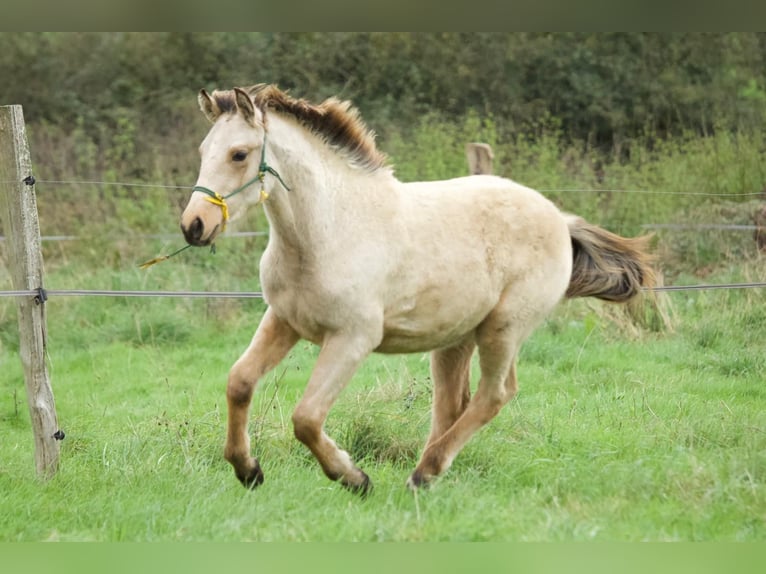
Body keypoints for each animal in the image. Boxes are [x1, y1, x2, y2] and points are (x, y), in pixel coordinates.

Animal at [178, 84, 656, 496]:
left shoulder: (352, 338)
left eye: (239, 154)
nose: (194, 225)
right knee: (453, 403)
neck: (329, 231)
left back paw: (423, 473)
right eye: (202, 151)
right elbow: (240, 383)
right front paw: (248, 470)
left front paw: (353, 478)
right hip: (455, 339)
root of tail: (560, 218)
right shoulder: (283, 321)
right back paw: (426, 472)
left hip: (503, 329)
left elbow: (307, 418)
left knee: (494, 395)